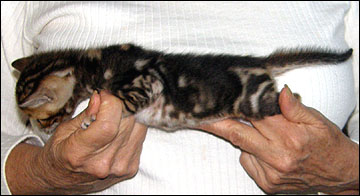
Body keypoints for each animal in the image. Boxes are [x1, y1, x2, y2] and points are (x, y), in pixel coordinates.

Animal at [11, 43, 352, 135]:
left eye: (41, 118)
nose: (44, 133)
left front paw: (90, 118)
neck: (94, 64)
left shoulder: (146, 81)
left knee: (291, 97)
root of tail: (258, 62)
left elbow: (119, 99)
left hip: (256, 102)